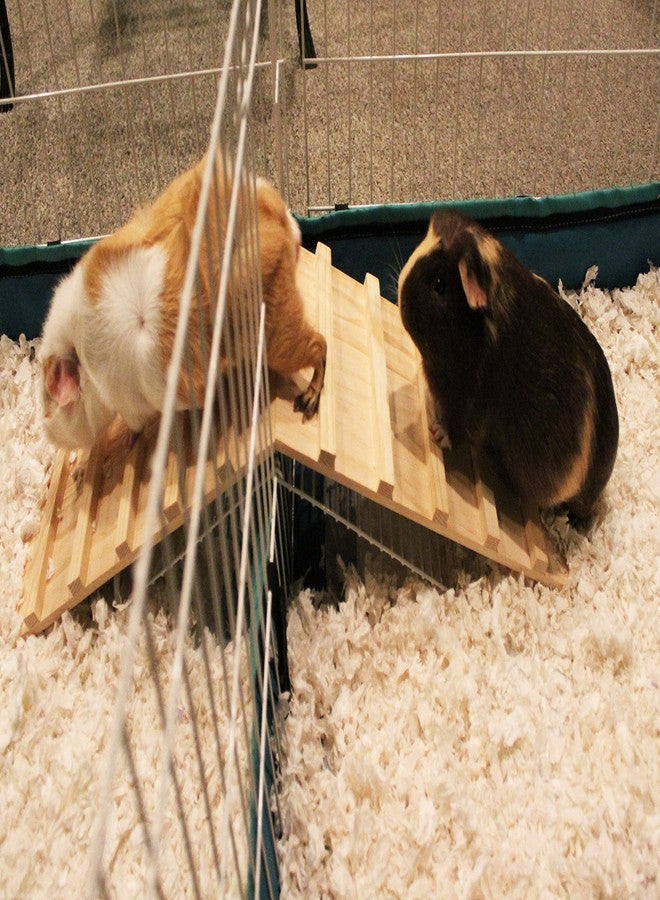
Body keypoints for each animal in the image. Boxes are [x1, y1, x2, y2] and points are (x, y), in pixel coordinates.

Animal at [39, 155, 327, 452]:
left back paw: (307, 402)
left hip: (280, 339)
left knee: (320, 348)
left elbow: (135, 425)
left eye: (49, 401)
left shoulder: (132, 409)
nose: (48, 431)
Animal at [398, 208, 619, 518]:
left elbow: (457, 429)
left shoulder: (467, 403)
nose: (400, 295)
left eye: (439, 285)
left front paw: (437, 433)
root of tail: (592, 492)